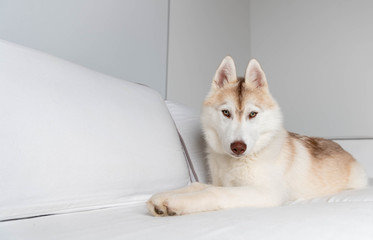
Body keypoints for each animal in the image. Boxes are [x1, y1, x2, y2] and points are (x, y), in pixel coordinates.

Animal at [146, 56, 366, 218]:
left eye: (252, 114)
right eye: (226, 113)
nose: (238, 147)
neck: (237, 163)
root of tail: (343, 149)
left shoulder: (265, 193)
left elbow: (212, 192)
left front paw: (176, 202)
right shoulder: (221, 182)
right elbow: (197, 185)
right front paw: (163, 197)